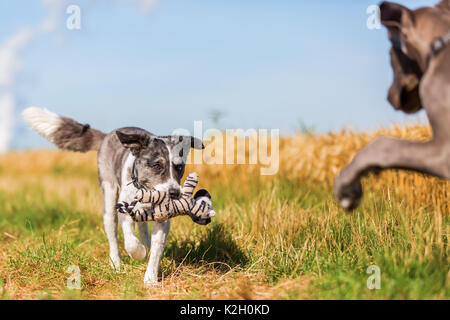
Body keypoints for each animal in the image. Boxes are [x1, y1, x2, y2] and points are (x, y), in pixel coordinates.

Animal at [24, 106, 213, 286]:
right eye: (157, 165)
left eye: (179, 167)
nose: (174, 193)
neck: (146, 190)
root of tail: (107, 136)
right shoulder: (124, 209)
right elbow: (130, 242)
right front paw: (139, 253)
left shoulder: (162, 219)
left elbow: (157, 248)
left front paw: (151, 279)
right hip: (108, 197)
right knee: (113, 234)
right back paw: (116, 263)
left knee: (142, 228)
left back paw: (145, 244)